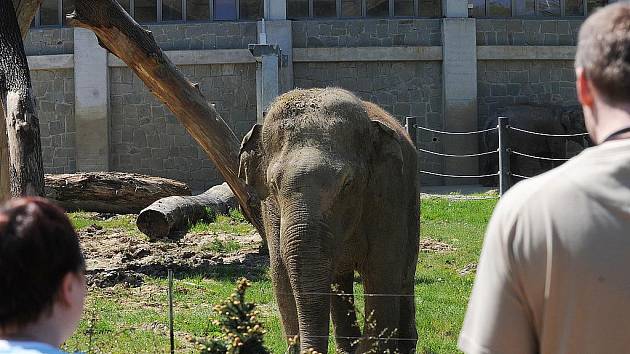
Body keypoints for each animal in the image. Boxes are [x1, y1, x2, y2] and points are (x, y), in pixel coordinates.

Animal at [237, 88, 420, 354]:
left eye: (347, 184)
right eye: (273, 185)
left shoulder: (388, 193)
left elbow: (382, 272)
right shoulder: (270, 208)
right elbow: (280, 272)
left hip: (411, 198)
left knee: (405, 274)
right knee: (338, 279)